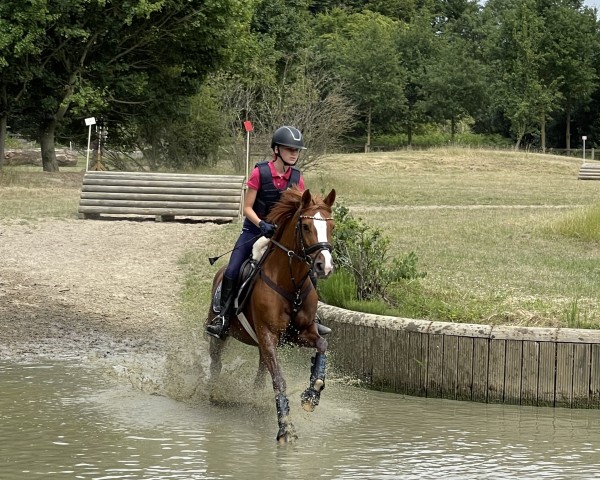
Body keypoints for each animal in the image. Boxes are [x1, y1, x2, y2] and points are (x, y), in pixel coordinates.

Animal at [206, 186, 338, 444]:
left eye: (332, 226)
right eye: (305, 226)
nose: (324, 267)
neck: (290, 282)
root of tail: (220, 271)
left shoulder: (301, 334)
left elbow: (322, 345)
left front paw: (311, 395)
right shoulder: (268, 335)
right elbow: (278, 379)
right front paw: (285, 427)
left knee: (260, 373)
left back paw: (255, 399)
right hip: (220, 334)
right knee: (216, 362)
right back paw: (214, 392)